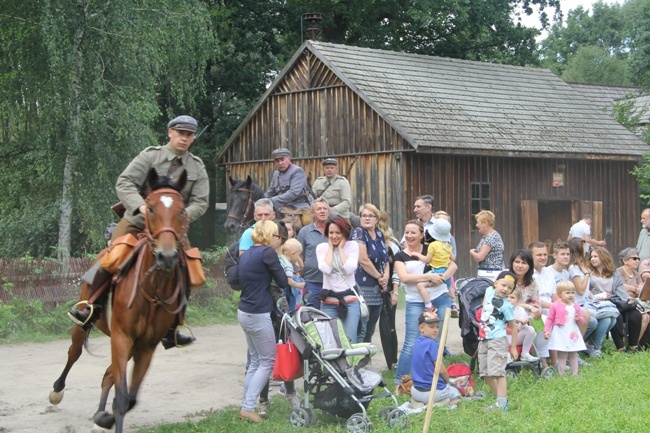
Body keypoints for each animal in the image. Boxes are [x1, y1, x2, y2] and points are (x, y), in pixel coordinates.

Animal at [48, 168, 190, 432]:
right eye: (151, 208)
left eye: (182, 210)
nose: (166, 256)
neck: (151, 292)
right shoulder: (122, 337)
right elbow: (122, 396)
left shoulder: (146, 346)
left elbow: (129, 397)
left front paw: (105, 418)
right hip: (87, 326)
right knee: (74, 353)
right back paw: (57, 391)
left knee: (108, 375)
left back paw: (100, 413)